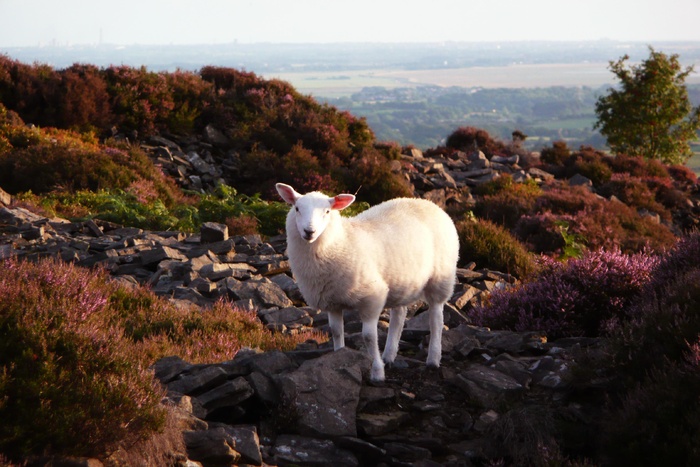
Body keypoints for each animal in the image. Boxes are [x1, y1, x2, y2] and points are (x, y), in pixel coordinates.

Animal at [276, 184, 462, 384]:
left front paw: (377, 372)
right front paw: (339, 356)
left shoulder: (372, 298)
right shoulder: (332, 302)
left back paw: (433, 359)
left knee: (436, 318)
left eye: (327, 211)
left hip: (440, 278)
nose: (309, 231)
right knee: (399, 315)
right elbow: (336, 331)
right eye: (297, 208)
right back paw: (389, 355)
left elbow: (369, 337)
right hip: (401, 280)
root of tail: (426, 203)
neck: (341, 241)